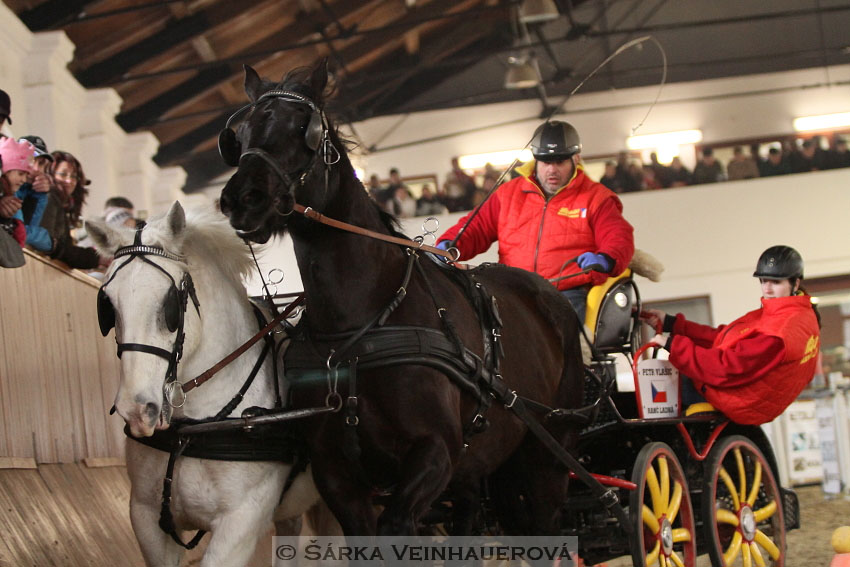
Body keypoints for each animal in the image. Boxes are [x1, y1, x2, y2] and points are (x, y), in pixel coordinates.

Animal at [88, 202, 332, 564]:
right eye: (108, 305)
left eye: (170, 305)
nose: (137, 410)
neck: (195, 429)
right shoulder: (146, 518)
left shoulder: (241, 523)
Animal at [219, 62, 588, 536]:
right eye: (240, 135)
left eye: (305, 128)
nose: (242, 199)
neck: (359, 330)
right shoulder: (336, 474)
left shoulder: (435, 452)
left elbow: (397, 525)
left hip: (548, 456)